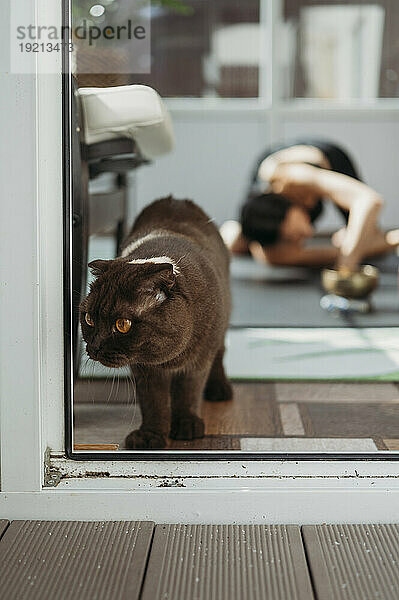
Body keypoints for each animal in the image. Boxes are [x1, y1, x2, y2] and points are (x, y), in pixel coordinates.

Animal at [80, 197, 233, 450]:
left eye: (122, 324)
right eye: (89, 319)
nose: (95, 347)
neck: (168, 360)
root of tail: (176, 200)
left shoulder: (198, 360)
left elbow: (188, 392)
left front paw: (187, 425)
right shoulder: (145, 370)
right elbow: (153, 402)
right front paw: (150, 436)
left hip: (221, 327)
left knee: (220, 353)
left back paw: (220, 389)